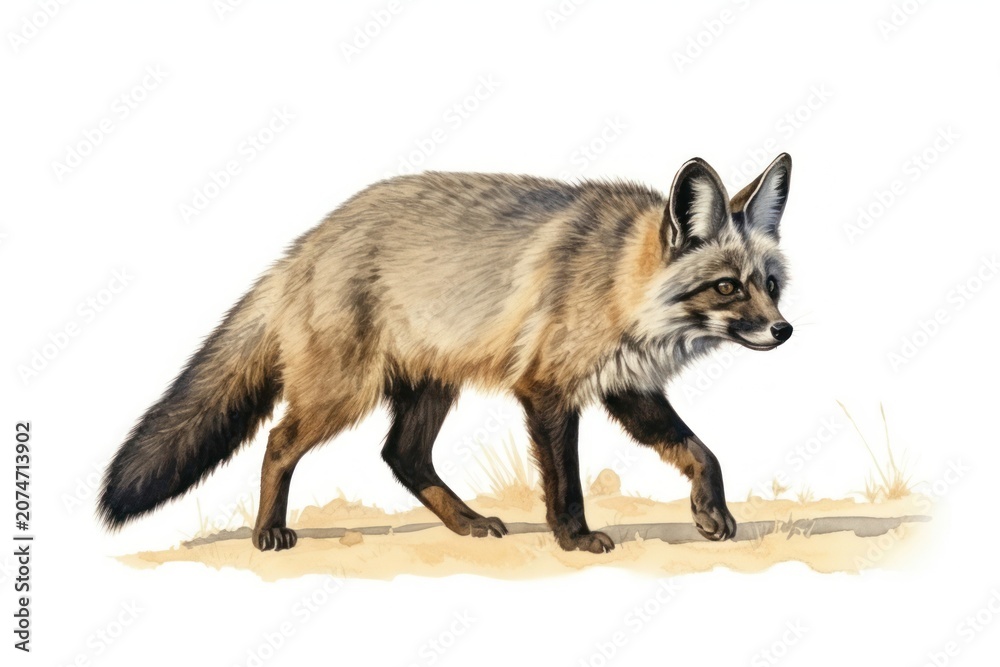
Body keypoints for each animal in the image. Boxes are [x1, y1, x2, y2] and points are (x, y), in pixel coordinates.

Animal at [99, 153, 794, 554]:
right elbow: (565, 482)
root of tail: (306, 243)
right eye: (728, 287)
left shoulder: (626, 386)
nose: (783, 331)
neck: (620, 281)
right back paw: (267, 532)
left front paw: (712, 513)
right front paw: (573, 538)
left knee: (400, 456)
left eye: (771, 285)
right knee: (278, 442)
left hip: (430, 387)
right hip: (342, 395)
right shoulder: (546, 389)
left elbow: (700, 452)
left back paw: (467, 524)